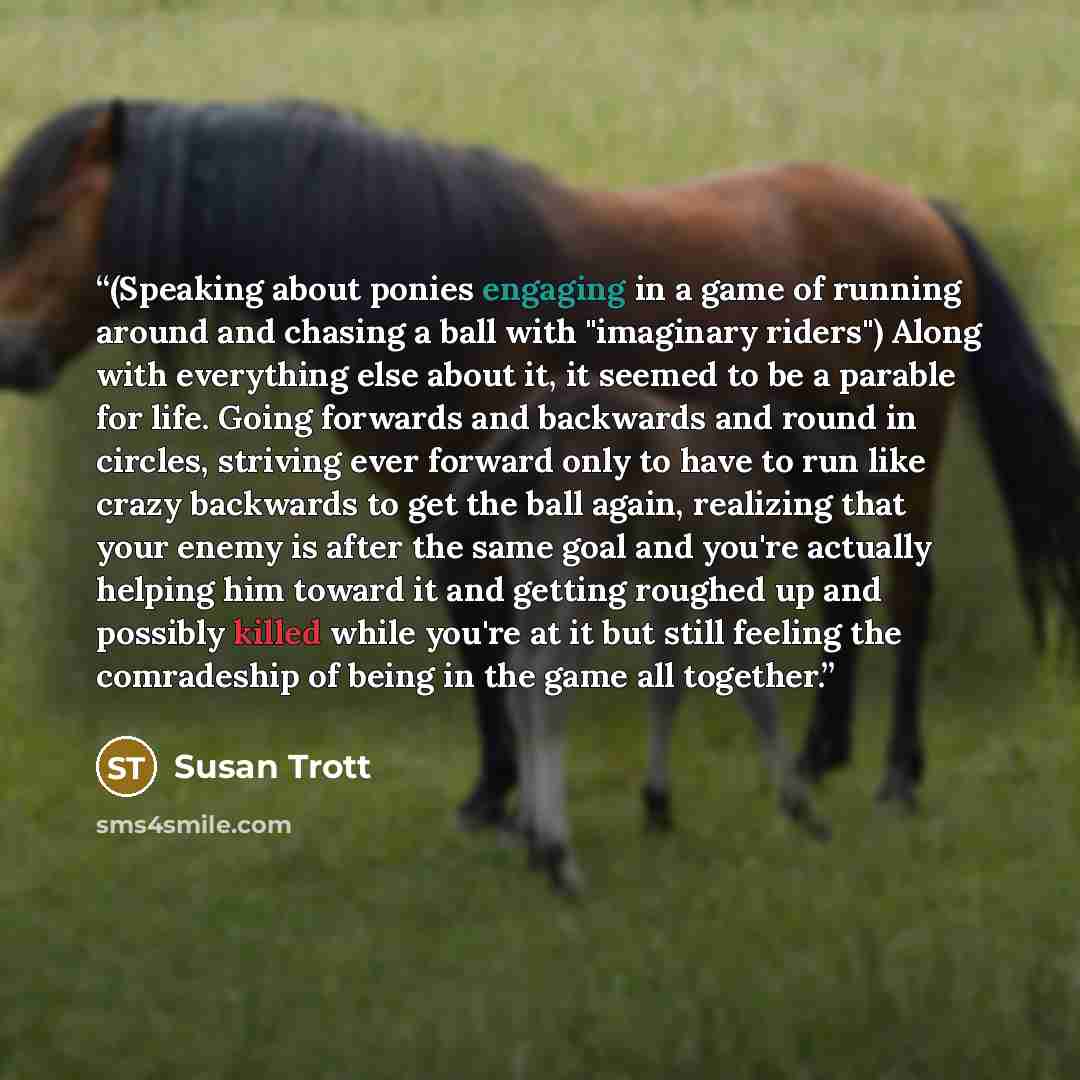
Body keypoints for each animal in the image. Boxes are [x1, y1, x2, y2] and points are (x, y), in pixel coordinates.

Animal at [1, 98, 1078, 833]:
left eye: (46, 220)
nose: (11, 357)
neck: (424, 278)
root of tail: (920, 209)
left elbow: (506, 645)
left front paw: (515, 797)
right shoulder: (441, 504)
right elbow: (478, 643)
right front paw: (493, 790)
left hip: (902, 451)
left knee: (905, 595)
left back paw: (897, 775)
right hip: (803, 460)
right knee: (844, 583)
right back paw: (820, 757)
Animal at [451, 385, 845, 894]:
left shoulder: (669, 587)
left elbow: (666, 687)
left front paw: (658, 806)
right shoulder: (733, 581)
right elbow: (758, 693)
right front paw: (800, 807)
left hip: (531, 572)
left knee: (519, 679)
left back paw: (535, 841)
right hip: (590, 570)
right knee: (549, 682)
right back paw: (559, 857)